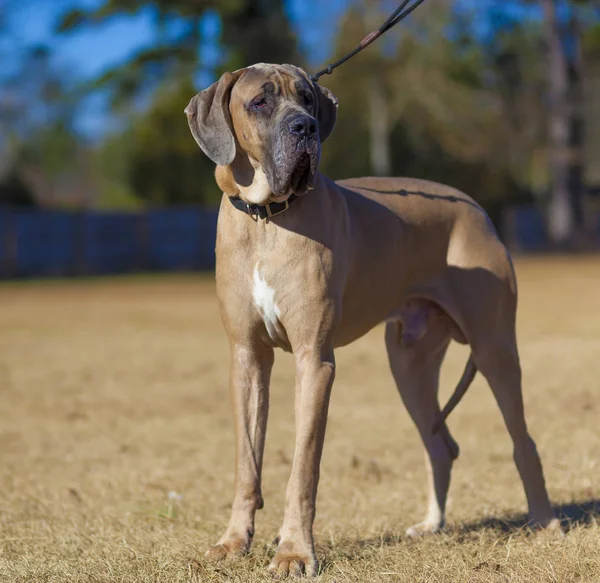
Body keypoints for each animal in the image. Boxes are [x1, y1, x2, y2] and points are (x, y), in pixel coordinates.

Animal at [185, 65, 560, 580]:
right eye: (260, 102)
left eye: (307, 98)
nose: (305, 127)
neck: (267, 220)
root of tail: (477, 208)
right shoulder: (247, 359)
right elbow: (247, 461)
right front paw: (233, 541)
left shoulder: (314, 361)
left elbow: (303, 467)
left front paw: (295, 551)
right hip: (408, 363)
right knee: (440, 445)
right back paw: (432, 524)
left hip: (495, 348)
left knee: (524, 442)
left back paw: (544, 520)